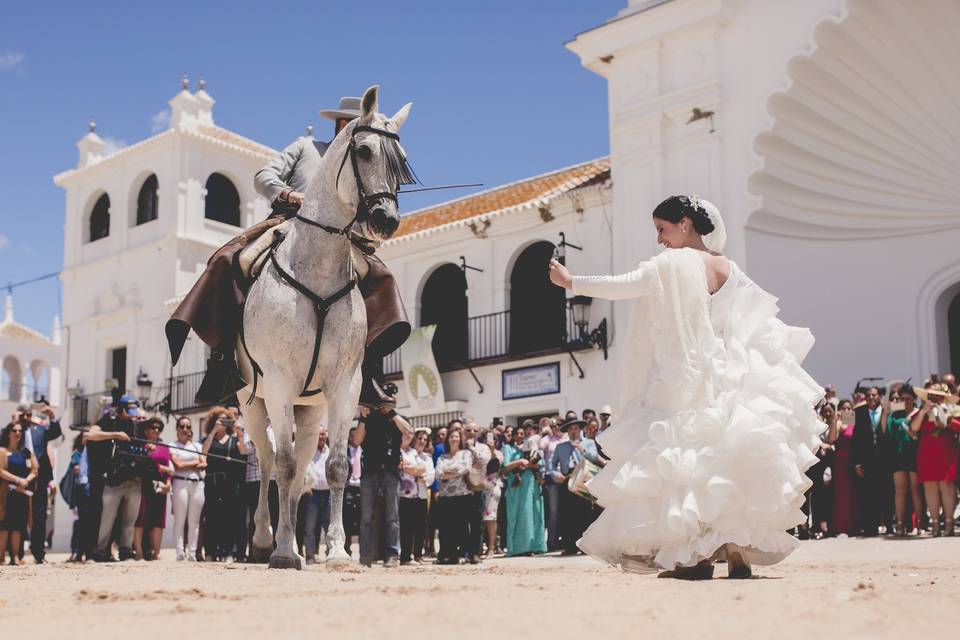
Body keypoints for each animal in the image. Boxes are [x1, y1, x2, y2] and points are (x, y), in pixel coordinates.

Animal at [238, 85, 410, 568]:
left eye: (402, 160)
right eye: (365, 150)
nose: (385, 220)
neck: (316, 272)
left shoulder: (343, 386)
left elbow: (333, 467)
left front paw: (335, 551)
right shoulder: (279, 382)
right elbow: (281, 466)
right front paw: (281, 551)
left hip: (309, 407)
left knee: (298, 473)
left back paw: (297, 544)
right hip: (253, 402)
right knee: (267, 460)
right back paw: (266, 541)